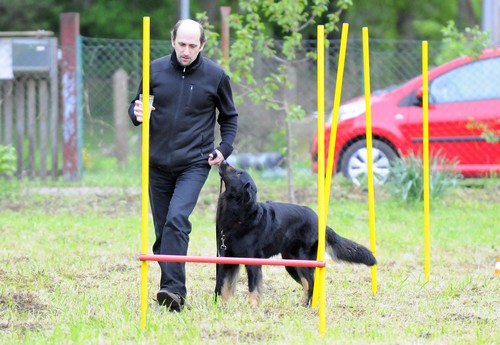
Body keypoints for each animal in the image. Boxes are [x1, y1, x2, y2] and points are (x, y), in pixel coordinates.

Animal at [214, 161, 376, 306]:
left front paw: (253, 308)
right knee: (307, 284)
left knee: (311, 282)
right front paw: (222, 307)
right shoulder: (228, 259)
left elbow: (253, 289)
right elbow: (225, 286)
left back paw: (309, 306)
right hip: (291, 263)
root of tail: (320, 222)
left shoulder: (252, 261)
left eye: (238, 173)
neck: (240, 215)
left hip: (301, 260)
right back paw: (304, 305)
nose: (223, 161)